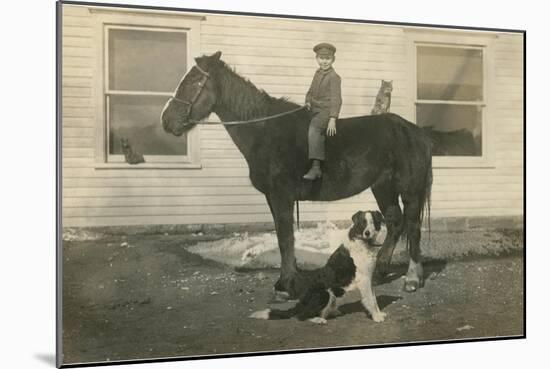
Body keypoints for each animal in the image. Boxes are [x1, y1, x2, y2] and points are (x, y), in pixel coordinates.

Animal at [162, 50, 434, 294]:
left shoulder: (281, 195)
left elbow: (284, 238)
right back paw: (379, 271)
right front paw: (289, 277)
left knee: (412, 226)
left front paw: (286, 284)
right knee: (395, 222)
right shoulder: (273, 197)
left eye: (195, 82)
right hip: (383, 187)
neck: (265, 130)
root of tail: (416, 131)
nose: (166, 120)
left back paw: (412, 278)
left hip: (409, 189)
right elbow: (285, 236)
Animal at [251, 210, 388, 324]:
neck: (364, 243)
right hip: (324, 294)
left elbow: (374, 299)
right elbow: (371, 301)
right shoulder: (364, 280)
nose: (367, 233)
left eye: (373, 222)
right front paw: (376, 317)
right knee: (302, 316)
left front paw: (379, 314)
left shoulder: (369, 278)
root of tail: (300, 302)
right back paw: (318, 319)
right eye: (362, 223)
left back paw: (332, 312)